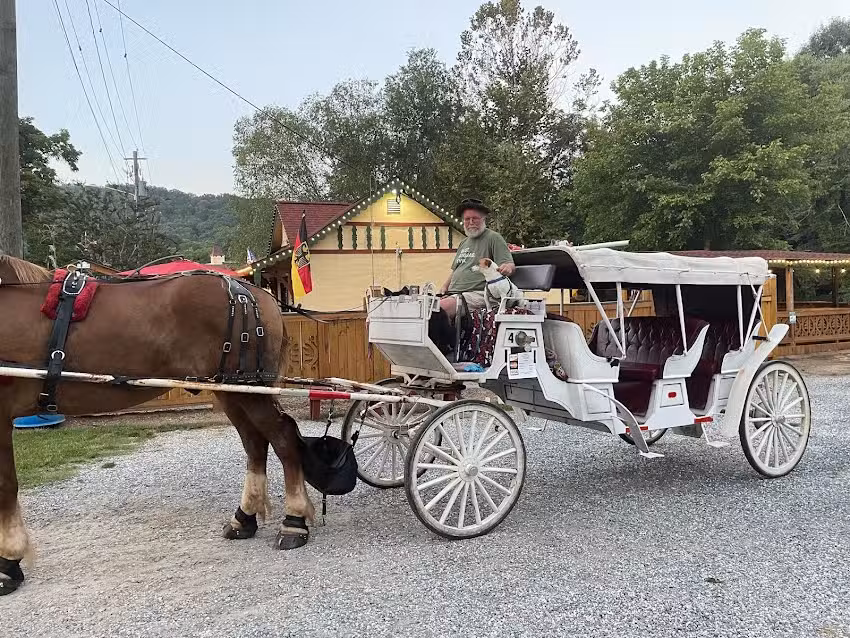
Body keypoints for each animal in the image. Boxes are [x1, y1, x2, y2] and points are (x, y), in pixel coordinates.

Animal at [0, 254, 315, 595]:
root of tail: (252, 292)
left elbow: (6, 485)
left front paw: (8, 562)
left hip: (249, 391)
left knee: (283, 437)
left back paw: (294, 522)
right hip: (232, 390)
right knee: (255, 443)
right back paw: (244, 518)